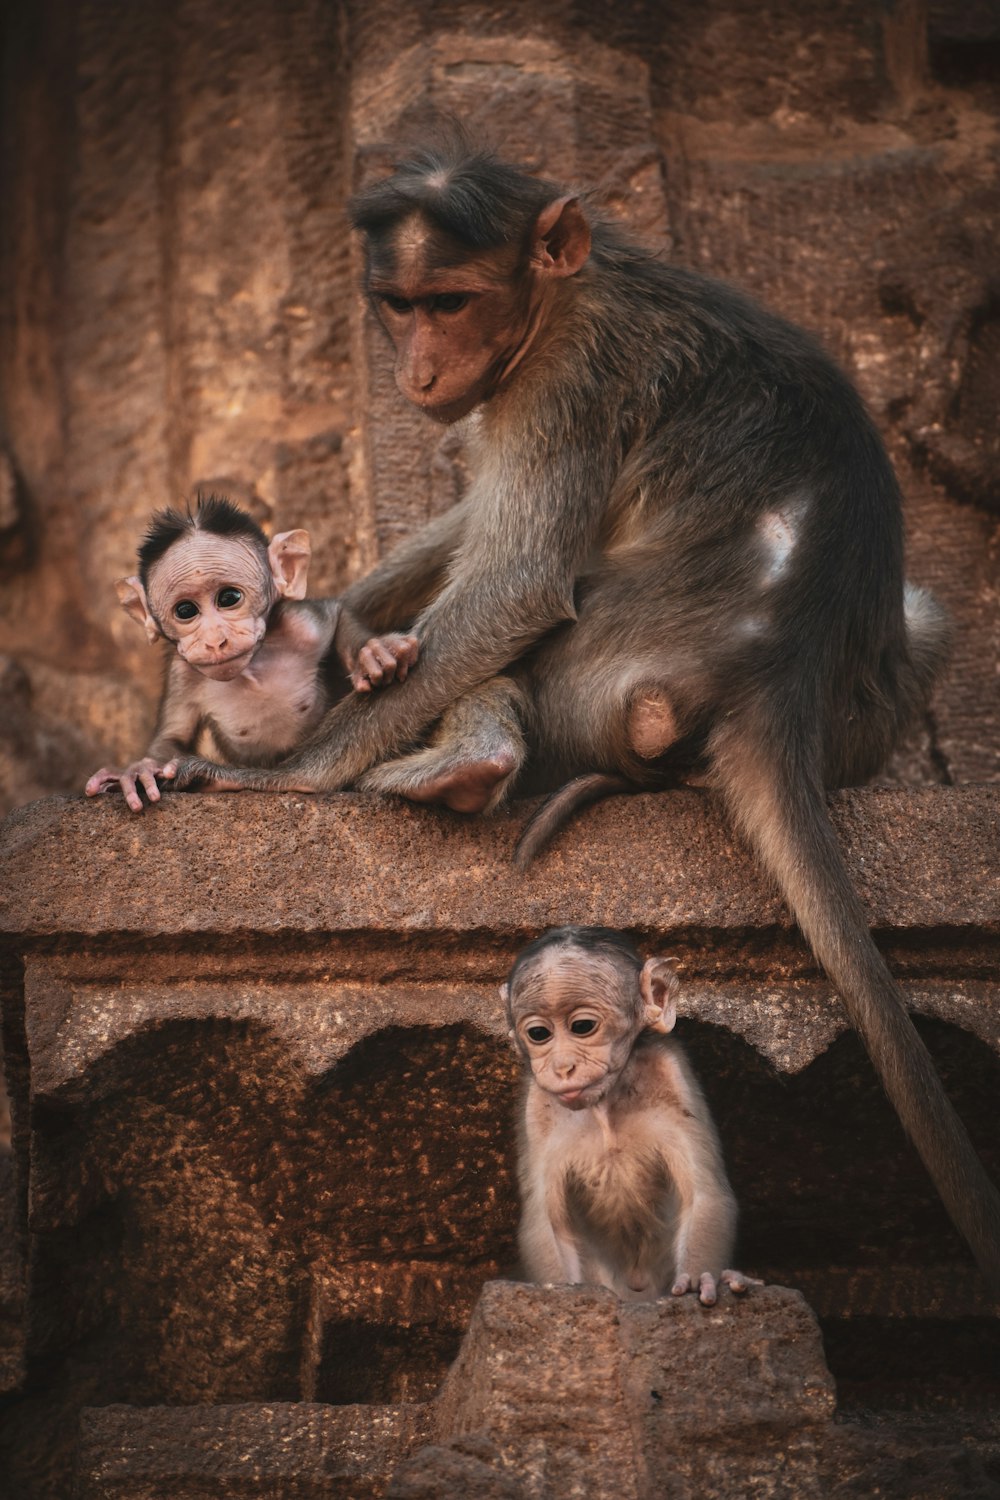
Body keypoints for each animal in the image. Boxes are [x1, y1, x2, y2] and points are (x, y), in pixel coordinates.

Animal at [82, 495, 419, 816]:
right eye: (186, 611)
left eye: (229, 598)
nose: (215, 640)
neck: (251, 667)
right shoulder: (182, 673)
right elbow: (172, 736)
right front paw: (139, 771)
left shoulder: (301, 625)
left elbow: (336, 615)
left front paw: (374, 653)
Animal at [503, 918, 755, 1308]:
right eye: (539, 1033)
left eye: (582, 1027)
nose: (562, 1067)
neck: (604, 1104)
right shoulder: (536, 1106)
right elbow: (549, 1226)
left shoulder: (669, 1070)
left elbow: (704, 1195)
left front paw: (705, 1278)